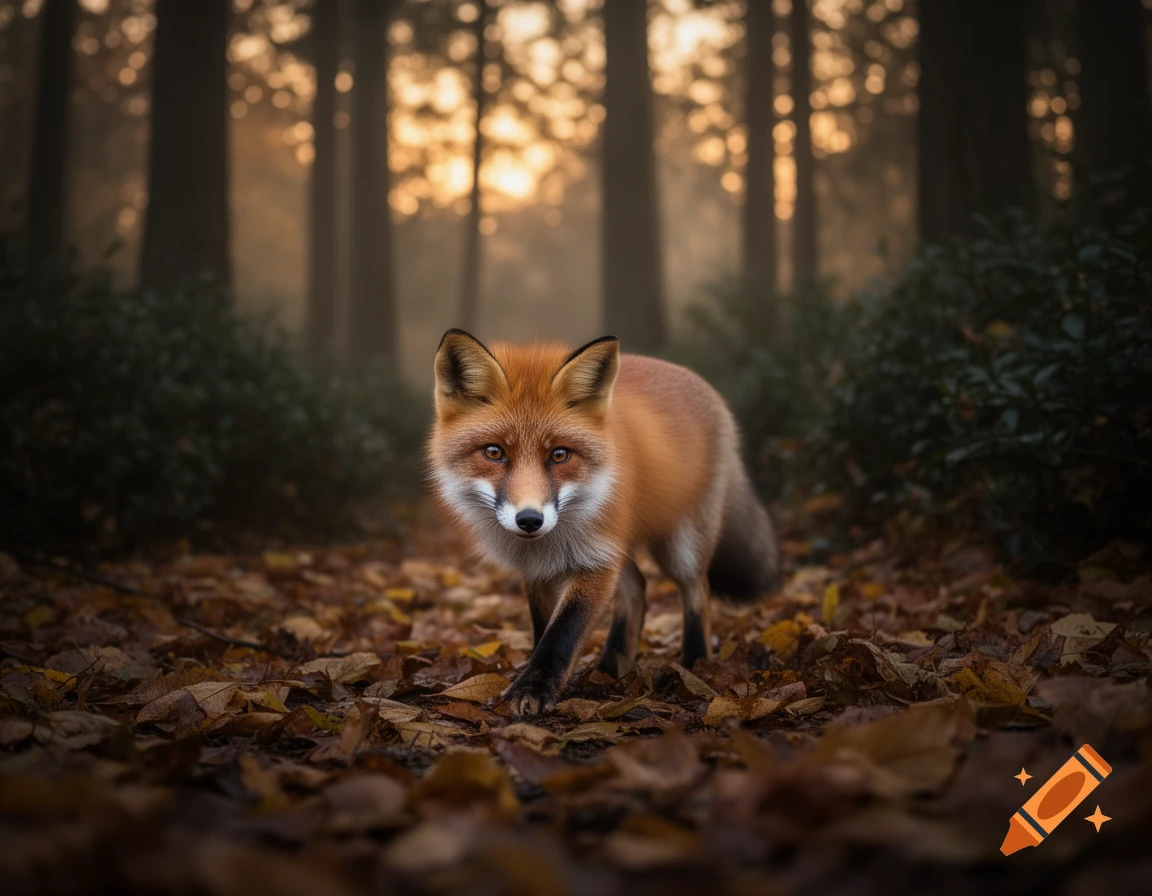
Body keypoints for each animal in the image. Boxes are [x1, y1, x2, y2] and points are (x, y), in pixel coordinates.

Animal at [427, 329, 780, 717]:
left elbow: (562, 633)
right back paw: (613, 664)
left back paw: (696, 663)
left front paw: (534, 689)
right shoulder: (538, 569)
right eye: (494, 452)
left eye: (559, 455)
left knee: (696, 591)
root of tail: (702, 383)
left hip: (681, 547)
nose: (530, 520)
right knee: (637, 586)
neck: (549, 543)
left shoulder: (595, 561)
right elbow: (543, 630)